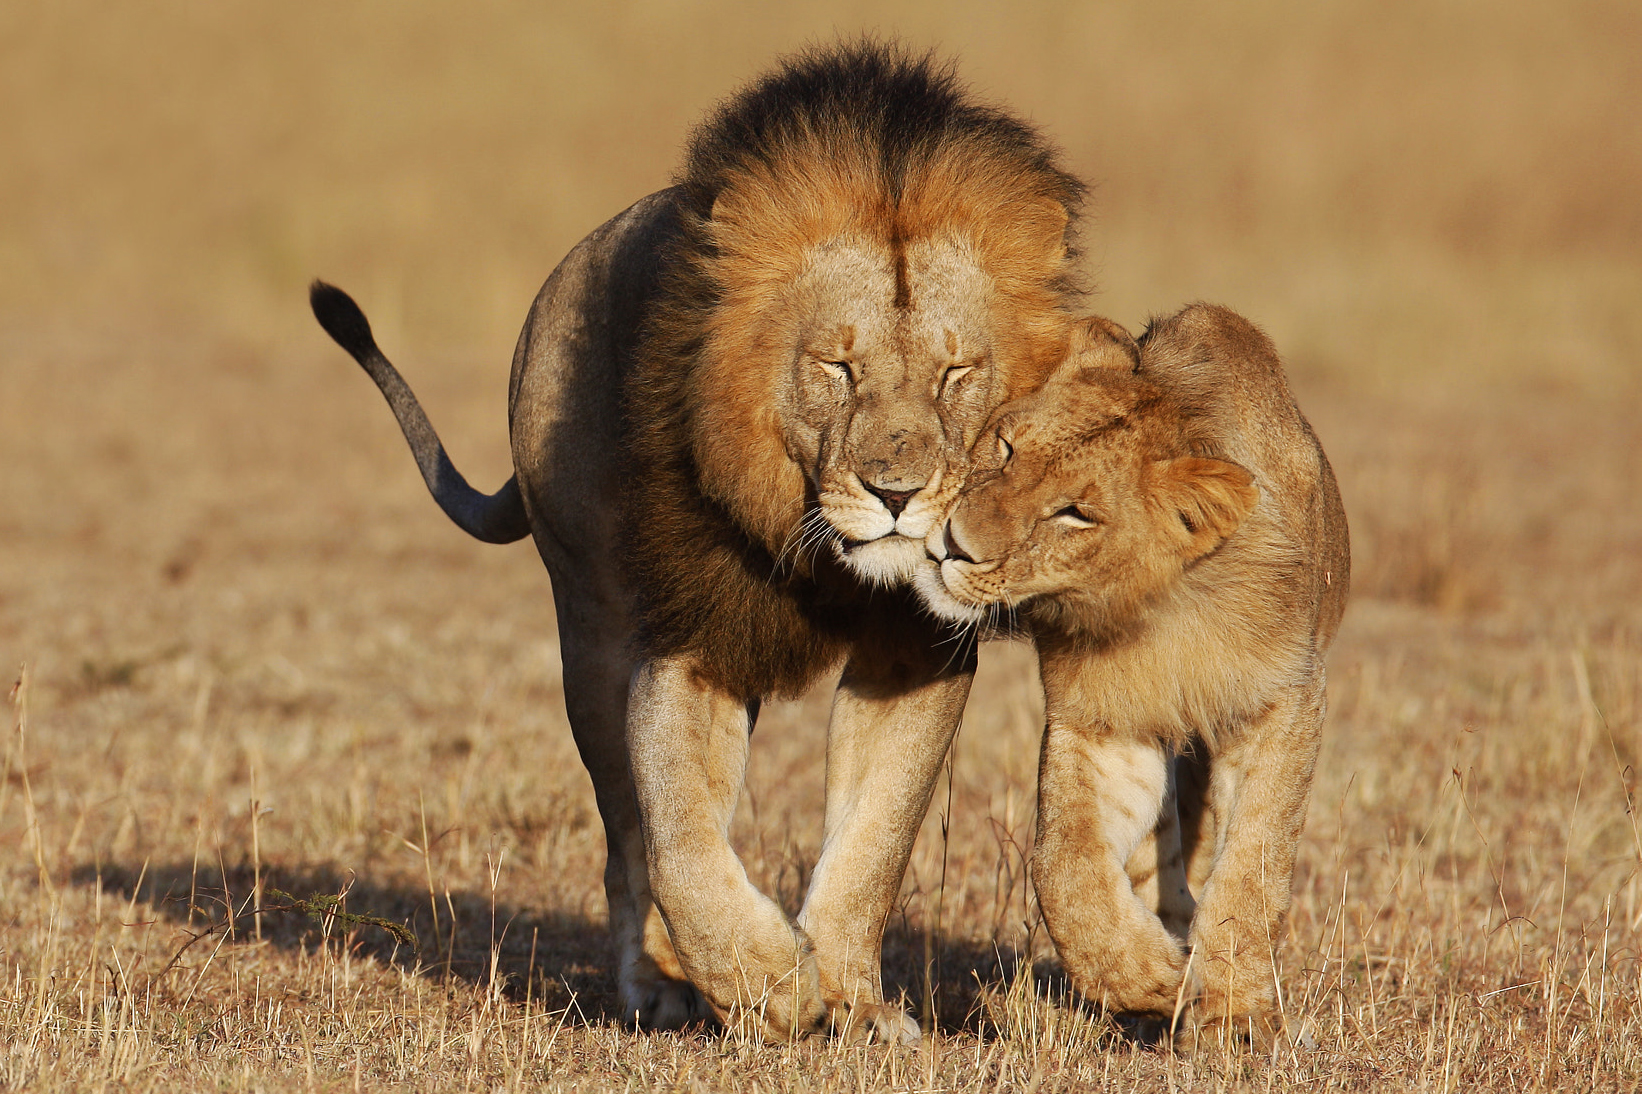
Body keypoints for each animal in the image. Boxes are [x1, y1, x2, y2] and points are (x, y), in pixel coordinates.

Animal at [308, 44, 1083, 1038]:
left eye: (957, 373)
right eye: (837, 367)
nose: (897, 494)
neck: (824, 556)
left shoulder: (917, 648)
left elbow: (876, 836)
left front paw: (853, 1003)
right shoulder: (690, 637)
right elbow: (677, 836)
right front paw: (772, 984)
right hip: (591, 627)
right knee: (627, 832)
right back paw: (662, 983)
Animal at [919, 302, 1353, 1038]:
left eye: (1075, 513)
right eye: (1005, 447)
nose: (952, 545)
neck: (1164, 609)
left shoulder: (1284, 701)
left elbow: (1252, 863)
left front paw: (1234, 1011)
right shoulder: (1104, 723)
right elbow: (1061, 863)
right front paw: (1146, 979)